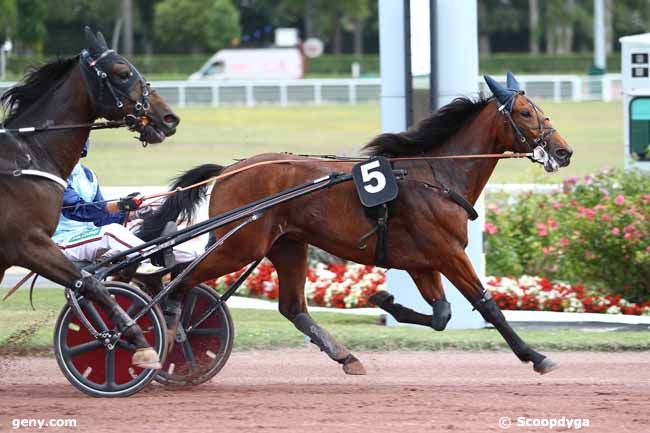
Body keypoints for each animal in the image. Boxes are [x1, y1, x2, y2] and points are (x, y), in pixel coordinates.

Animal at [0, 26, 178, 364]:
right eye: (123, 72)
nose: (169, 118)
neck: (25, 157)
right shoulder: (29, 243)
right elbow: (91, 282)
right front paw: (137, 340)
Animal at [144, 73, 568, 374]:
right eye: (525, 112)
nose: (564, 151)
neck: (436, 175)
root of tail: (228, 170)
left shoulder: (422, 261)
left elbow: (441, 315)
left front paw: (385, 300)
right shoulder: (448, 253)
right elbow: (486, 305)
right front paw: (534, 355)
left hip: (287, 245)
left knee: (292, 307)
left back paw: (345, 356)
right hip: (239, 245)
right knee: (179, 278)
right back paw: (171, 328)